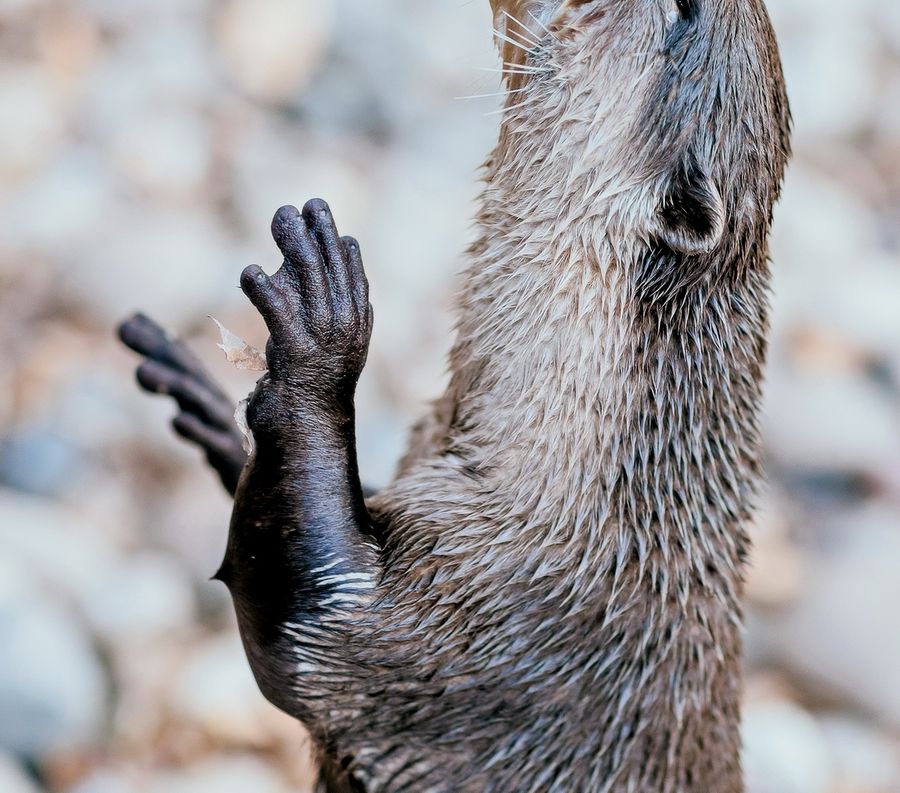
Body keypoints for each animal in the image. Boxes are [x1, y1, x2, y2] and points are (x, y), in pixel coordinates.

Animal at [118, 3, 788, 788]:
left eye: (683, 11)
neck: (600, 503)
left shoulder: (482, 620)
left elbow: (303, 619)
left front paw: (320, 340)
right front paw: (213, 410)